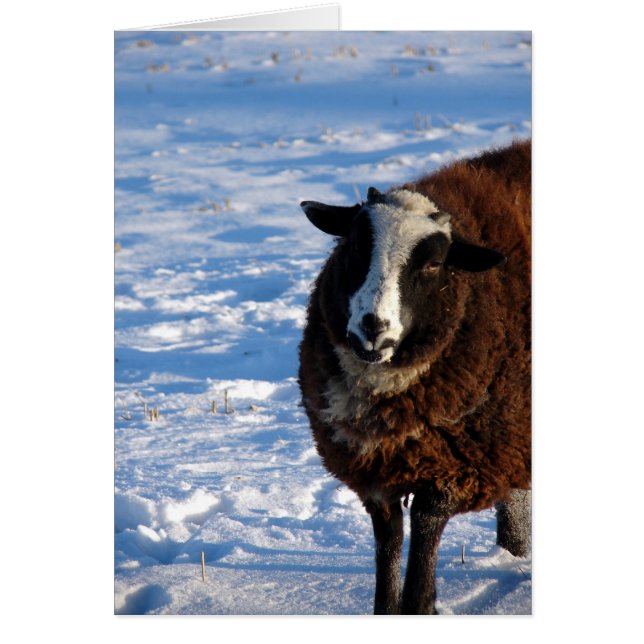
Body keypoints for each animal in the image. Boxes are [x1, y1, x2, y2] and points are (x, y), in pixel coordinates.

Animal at [297, 140, 531, 615]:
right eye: (353, 246)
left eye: (435, 263)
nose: (373, 326)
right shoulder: (377, 476)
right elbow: (389, 543)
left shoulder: (457, 469)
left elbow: (424, 529)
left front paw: (421, 602)